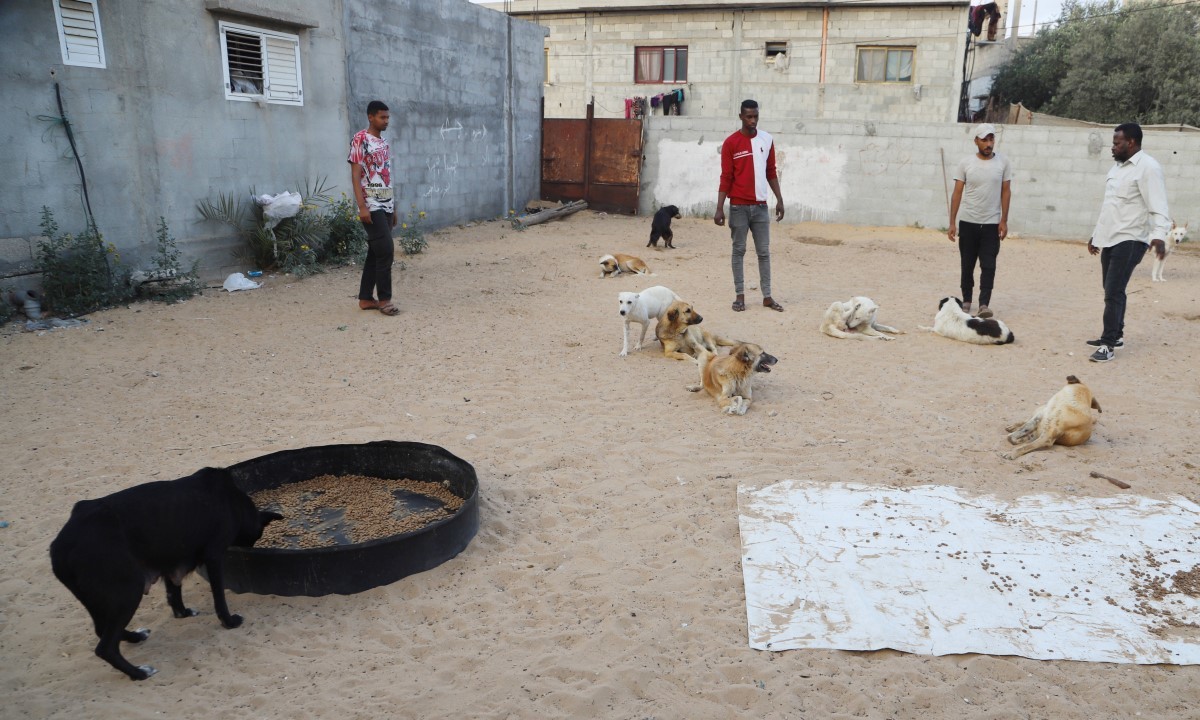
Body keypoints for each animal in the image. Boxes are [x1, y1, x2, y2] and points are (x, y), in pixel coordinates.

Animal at [50, 468, 282, 681]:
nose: (250, 550)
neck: (232, 499)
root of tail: (59, 548)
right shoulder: (214, 556)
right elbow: (219, 597)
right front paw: (229, 622)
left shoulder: (172, 565)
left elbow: (174, 595)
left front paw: (183, 613)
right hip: (128, 592)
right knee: (105, 647)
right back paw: (139, 673)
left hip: (97, 601)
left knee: (102, 631)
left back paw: (135, 637)